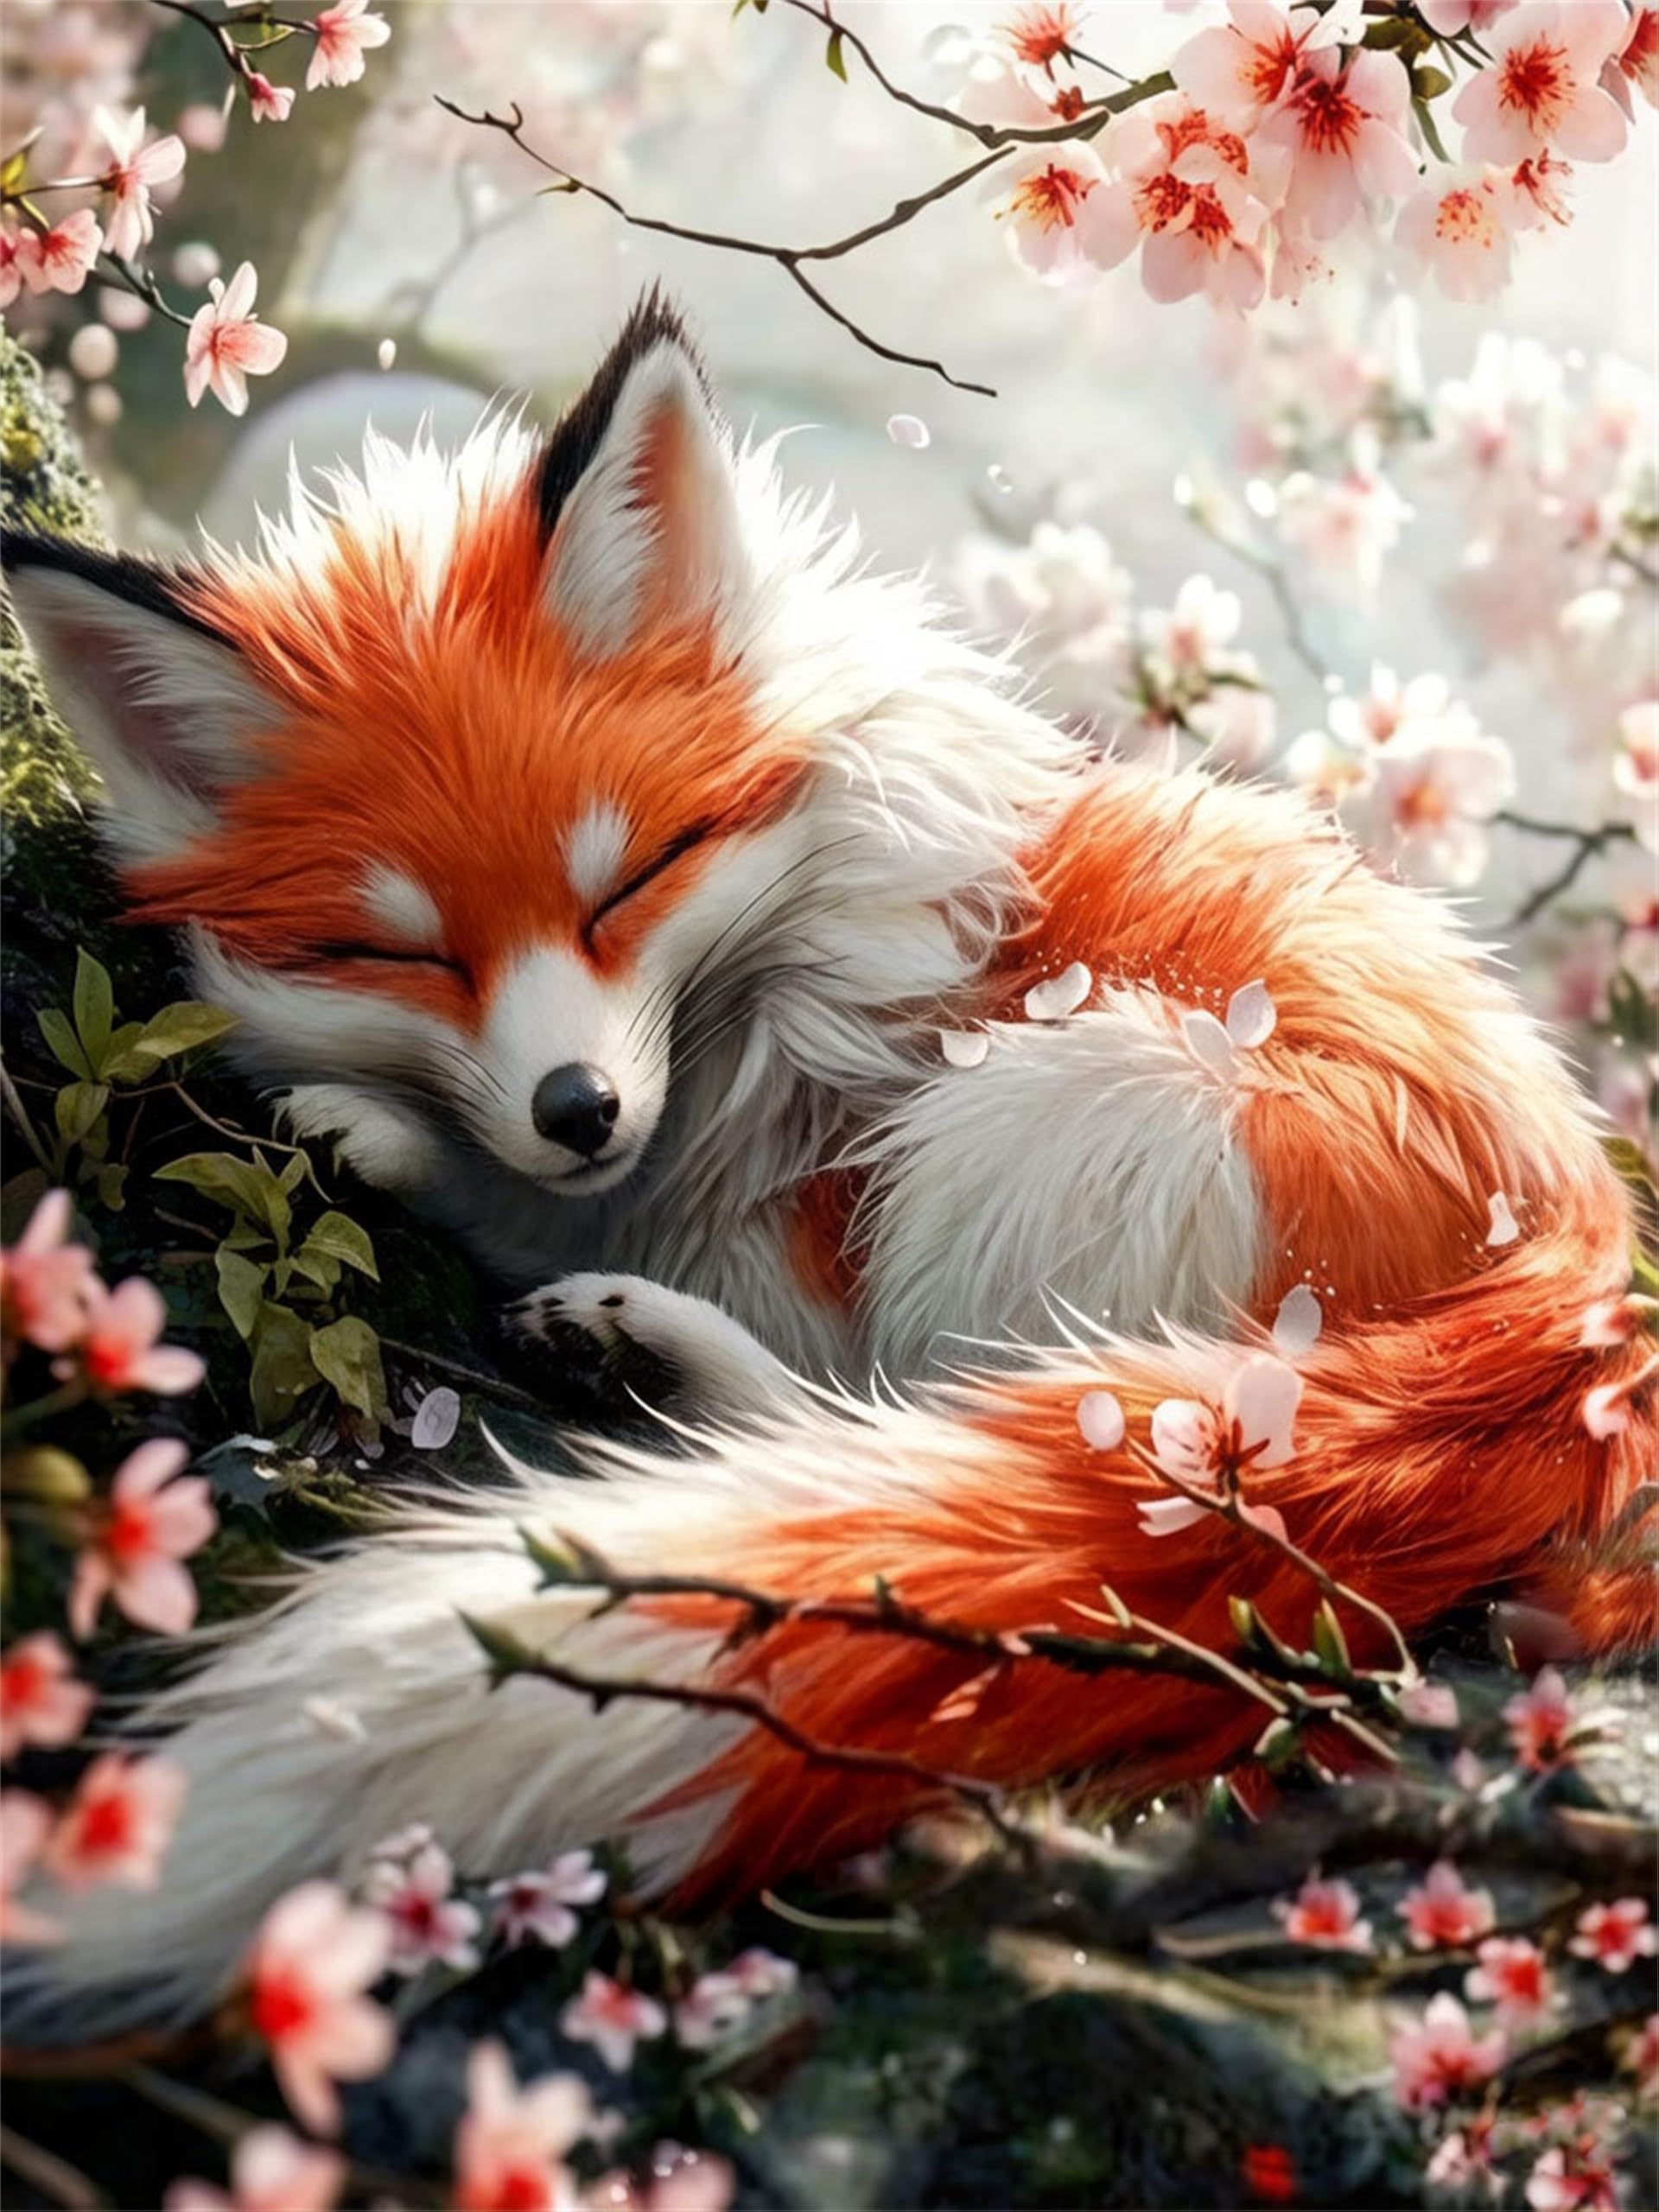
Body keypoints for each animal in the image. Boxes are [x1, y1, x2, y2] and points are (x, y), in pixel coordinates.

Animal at [3, 290, 1655, 2027]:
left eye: (628, 884)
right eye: (401, 954)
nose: (578, 1105)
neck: (790, 974)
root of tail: (1579, 1301)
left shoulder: (794, 1202)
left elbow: (551, 1214)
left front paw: (388, 1138)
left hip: (1046, 1120)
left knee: (865, 1419)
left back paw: (652, 1357)